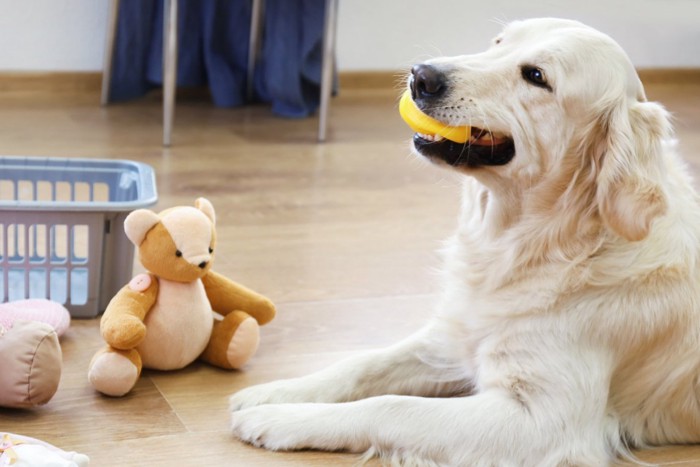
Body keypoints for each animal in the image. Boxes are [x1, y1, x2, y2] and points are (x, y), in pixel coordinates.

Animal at [230, 16, 700, 466]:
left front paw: (278, 419)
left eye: (536, 76)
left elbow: (392, 406)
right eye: (498, 42)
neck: (543, 242)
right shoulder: (453, 338)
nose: (421, 75)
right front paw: (274, 393)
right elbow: (360, 363)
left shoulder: (546, 418)